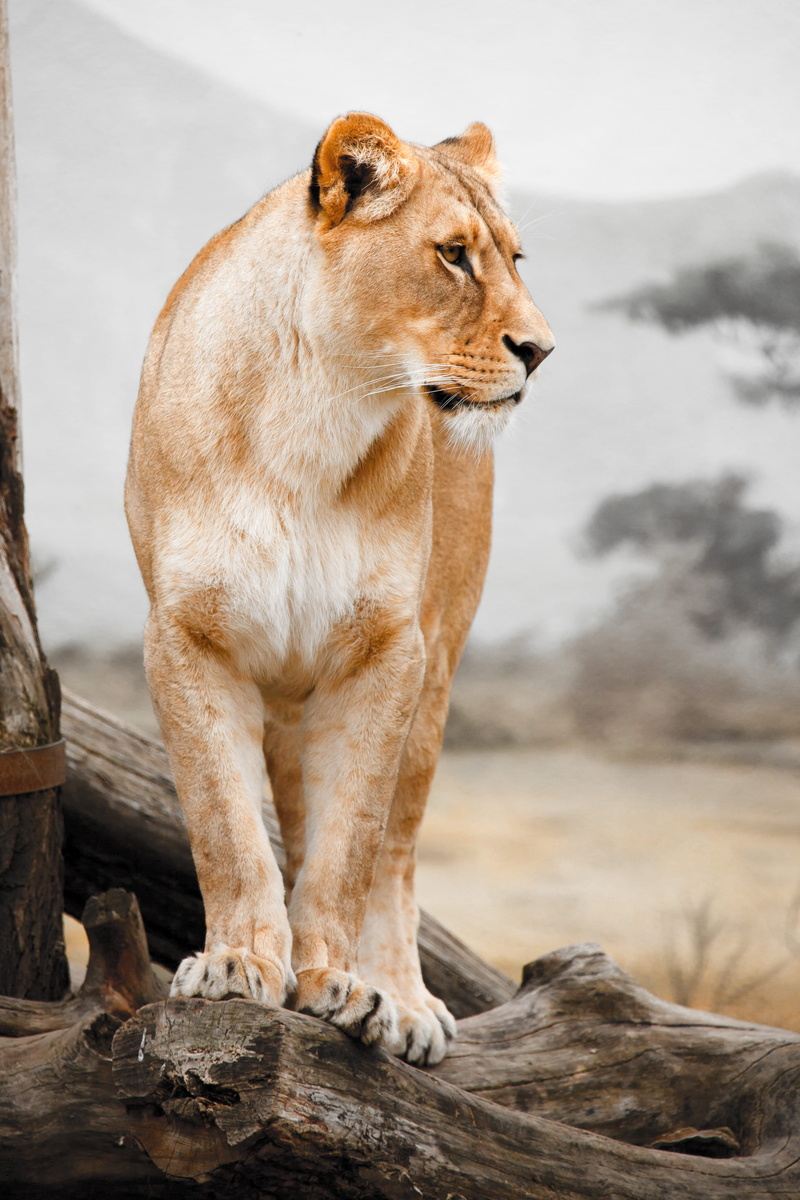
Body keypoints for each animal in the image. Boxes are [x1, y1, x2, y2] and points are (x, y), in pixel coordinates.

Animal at [125, 113, 553, 1066]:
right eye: (454, 256)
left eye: (513, 258)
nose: (540, 351)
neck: (317, 409)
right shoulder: (186, 638)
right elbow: (227, 828)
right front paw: (238, 964)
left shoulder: (389, 650)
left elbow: (351, 844)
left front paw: (341, 986)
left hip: (437, 672)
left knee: (398, 849)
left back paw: (409, 1002)